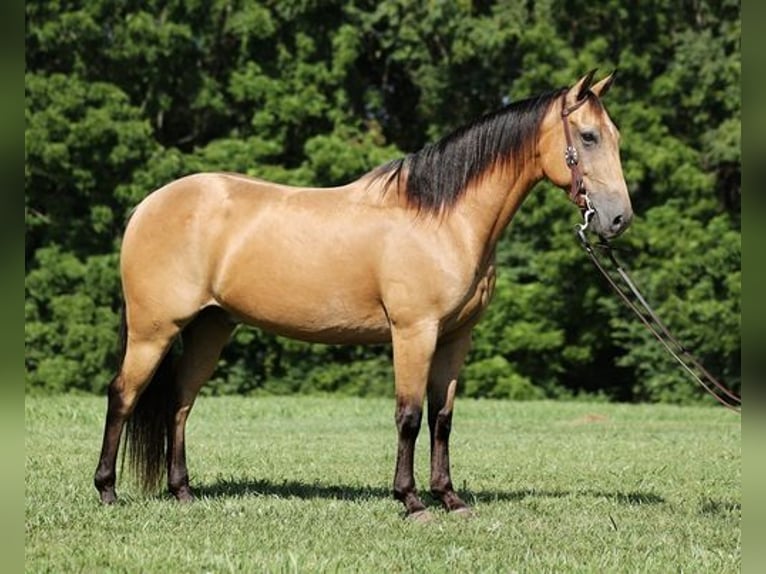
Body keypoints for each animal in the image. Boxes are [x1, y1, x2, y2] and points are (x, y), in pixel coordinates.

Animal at [94, 70, 636, 520]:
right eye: (588, 137)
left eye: (614, 136)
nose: (617, 219)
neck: (444, 218)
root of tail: (149, 205)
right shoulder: (414, 332)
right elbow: (409, 416)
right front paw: (411, 501)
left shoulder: (455, 338)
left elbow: (442, 418)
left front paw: (450, 498)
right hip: (154, 330)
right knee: (123, 395)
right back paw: (107, 491)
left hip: (211, 327)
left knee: (181, 402)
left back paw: (182, 492)